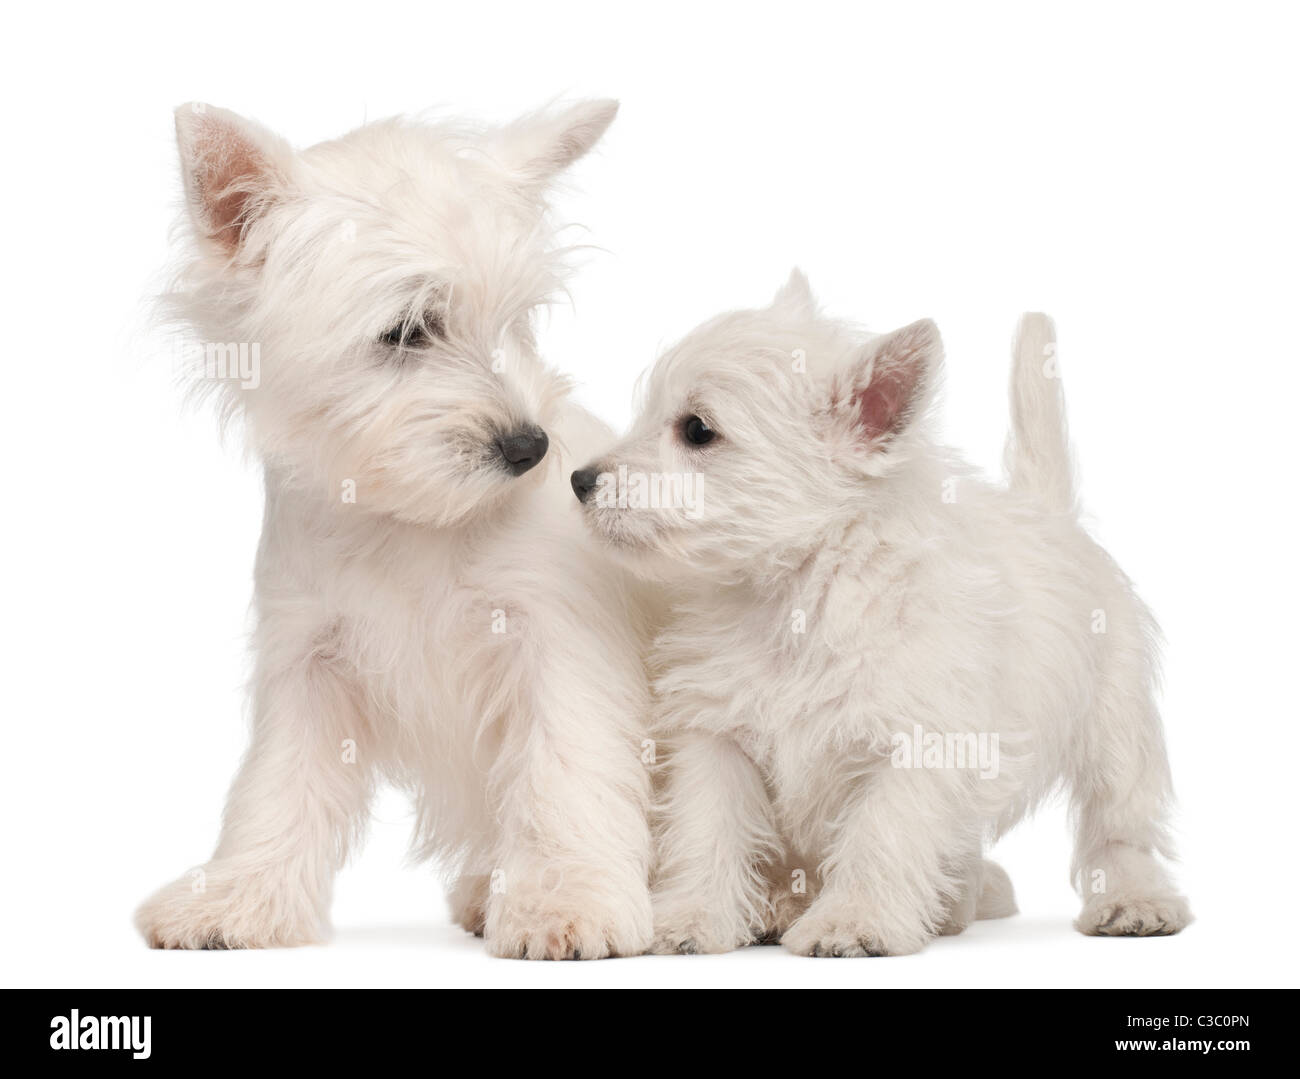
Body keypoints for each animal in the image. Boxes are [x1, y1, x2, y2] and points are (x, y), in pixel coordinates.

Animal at [135, 103, 655, 961]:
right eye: (408, 330)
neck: (412, 519)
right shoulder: (310, 655)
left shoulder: (557, 641)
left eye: (513, 322)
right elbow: (276, 784)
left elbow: (564, 769)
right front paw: (239, 896)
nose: (529, 446)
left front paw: (567, 900)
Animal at [569, 274, 1190, 956]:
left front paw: (853, 922)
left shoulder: (913, 743)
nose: (579, 479)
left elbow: (881, 837)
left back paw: (1133, 902)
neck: (796, 596)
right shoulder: (716, 733)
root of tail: (1047, 511)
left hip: (1116, 724)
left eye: (698, 430)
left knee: (1120, 826)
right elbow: (707, 831)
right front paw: (690, 920)